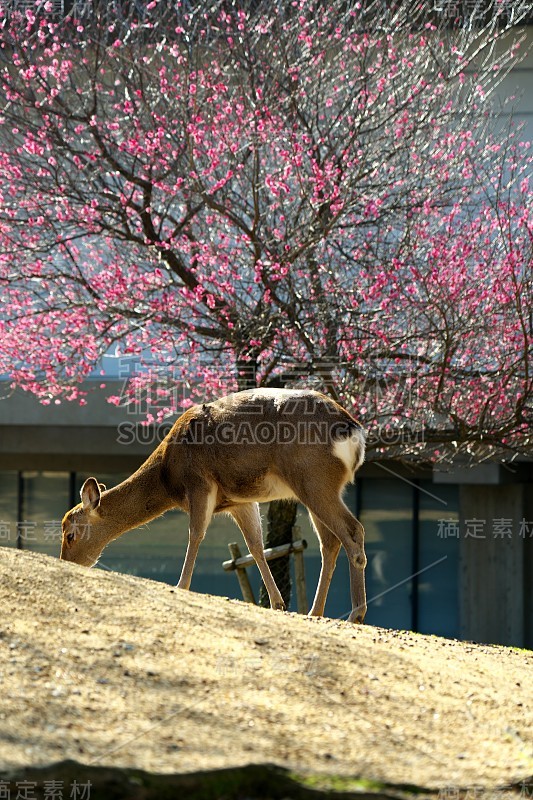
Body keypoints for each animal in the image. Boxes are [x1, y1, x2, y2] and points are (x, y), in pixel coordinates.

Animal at [58, 390, 366, 624]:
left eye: (70, 534)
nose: (66, 562)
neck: (168, 477)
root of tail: (353, 432)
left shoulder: (200, 483)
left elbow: (195, 534)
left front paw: (181, 586)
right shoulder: (240, 500)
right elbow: (255, 545)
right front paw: (277, 603)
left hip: (313, 479)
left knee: (352, 531)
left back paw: (356, 614)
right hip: (319, 487)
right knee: (330, 542)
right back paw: (316, 611)